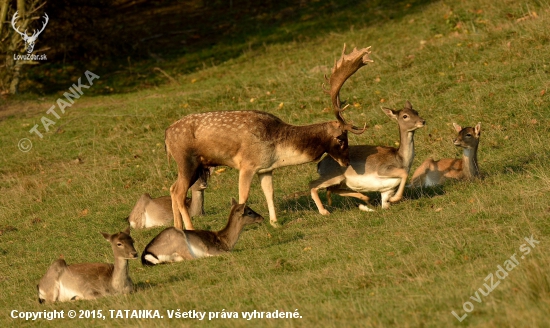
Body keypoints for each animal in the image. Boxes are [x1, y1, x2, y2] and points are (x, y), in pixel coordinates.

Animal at [167, 44, 376, 229]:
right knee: (178, 192)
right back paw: (190, 228)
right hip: (187, 161)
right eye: (341, 138)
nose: (347, 162)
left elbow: (270, 192)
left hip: (193, 166)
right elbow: (243, 196)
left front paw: (274, 222)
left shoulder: (265, 168)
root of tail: (166, 136)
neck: (279, 147)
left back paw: (178, 227)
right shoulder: (247, 164)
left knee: (172, 188)